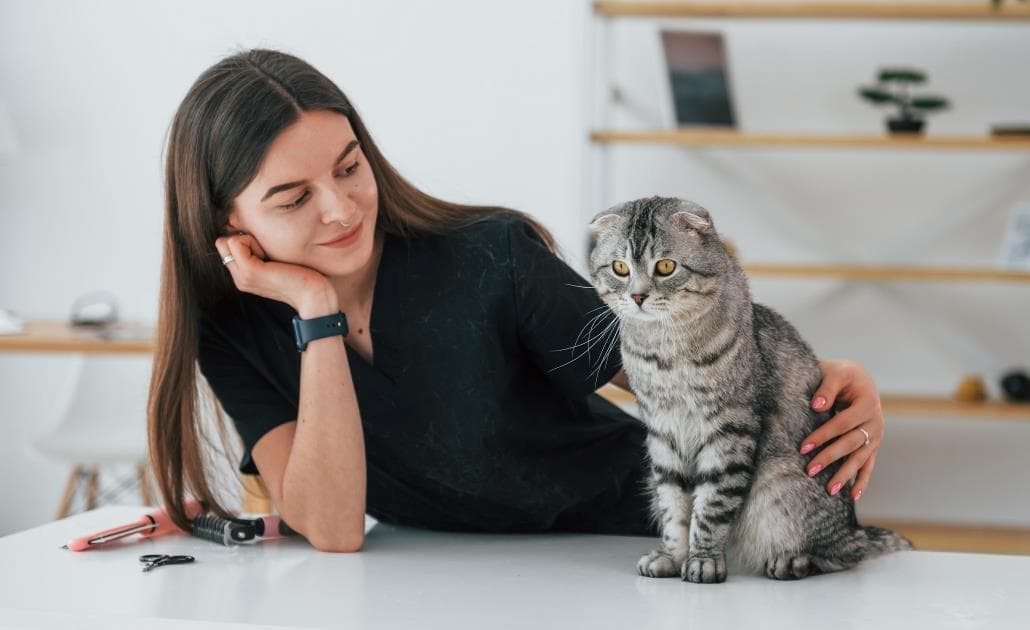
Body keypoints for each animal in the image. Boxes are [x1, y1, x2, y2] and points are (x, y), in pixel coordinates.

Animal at [589, 195, 910, 580]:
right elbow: (673, 506)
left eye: (665, 267)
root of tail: (856, 527)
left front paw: (703, 561)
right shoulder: (662, 432)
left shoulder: (730, 428)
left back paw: (793, 560)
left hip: (781, 486)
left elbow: (711, 508)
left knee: (844, 555)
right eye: (619, 268)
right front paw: (673, 556)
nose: (637, 297)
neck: (664, 349)